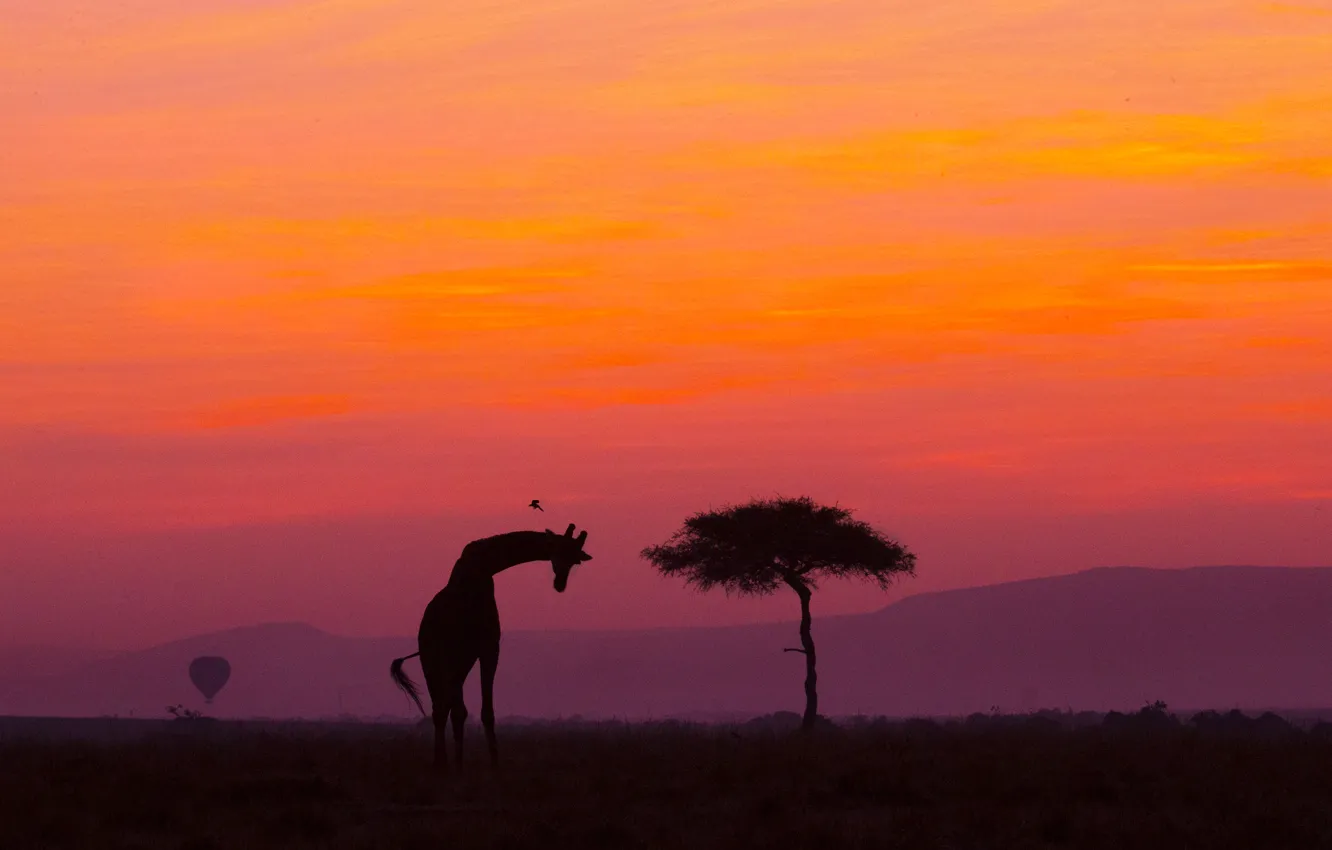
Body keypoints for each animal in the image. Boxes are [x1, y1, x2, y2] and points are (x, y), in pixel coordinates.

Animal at [390, 523, 592, 770]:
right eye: (556, 549)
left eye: (575, 560)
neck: (484, 567)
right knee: (440, 708)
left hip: (458, 663)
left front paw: (486, 763)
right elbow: (472, 711)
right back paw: (441, 764)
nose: (560, 584)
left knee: (447, 708)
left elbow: (480, 711)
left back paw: (448, 763)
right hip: (433, 660)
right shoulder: (472, 650)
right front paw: (476, 766)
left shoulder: (483, 649)